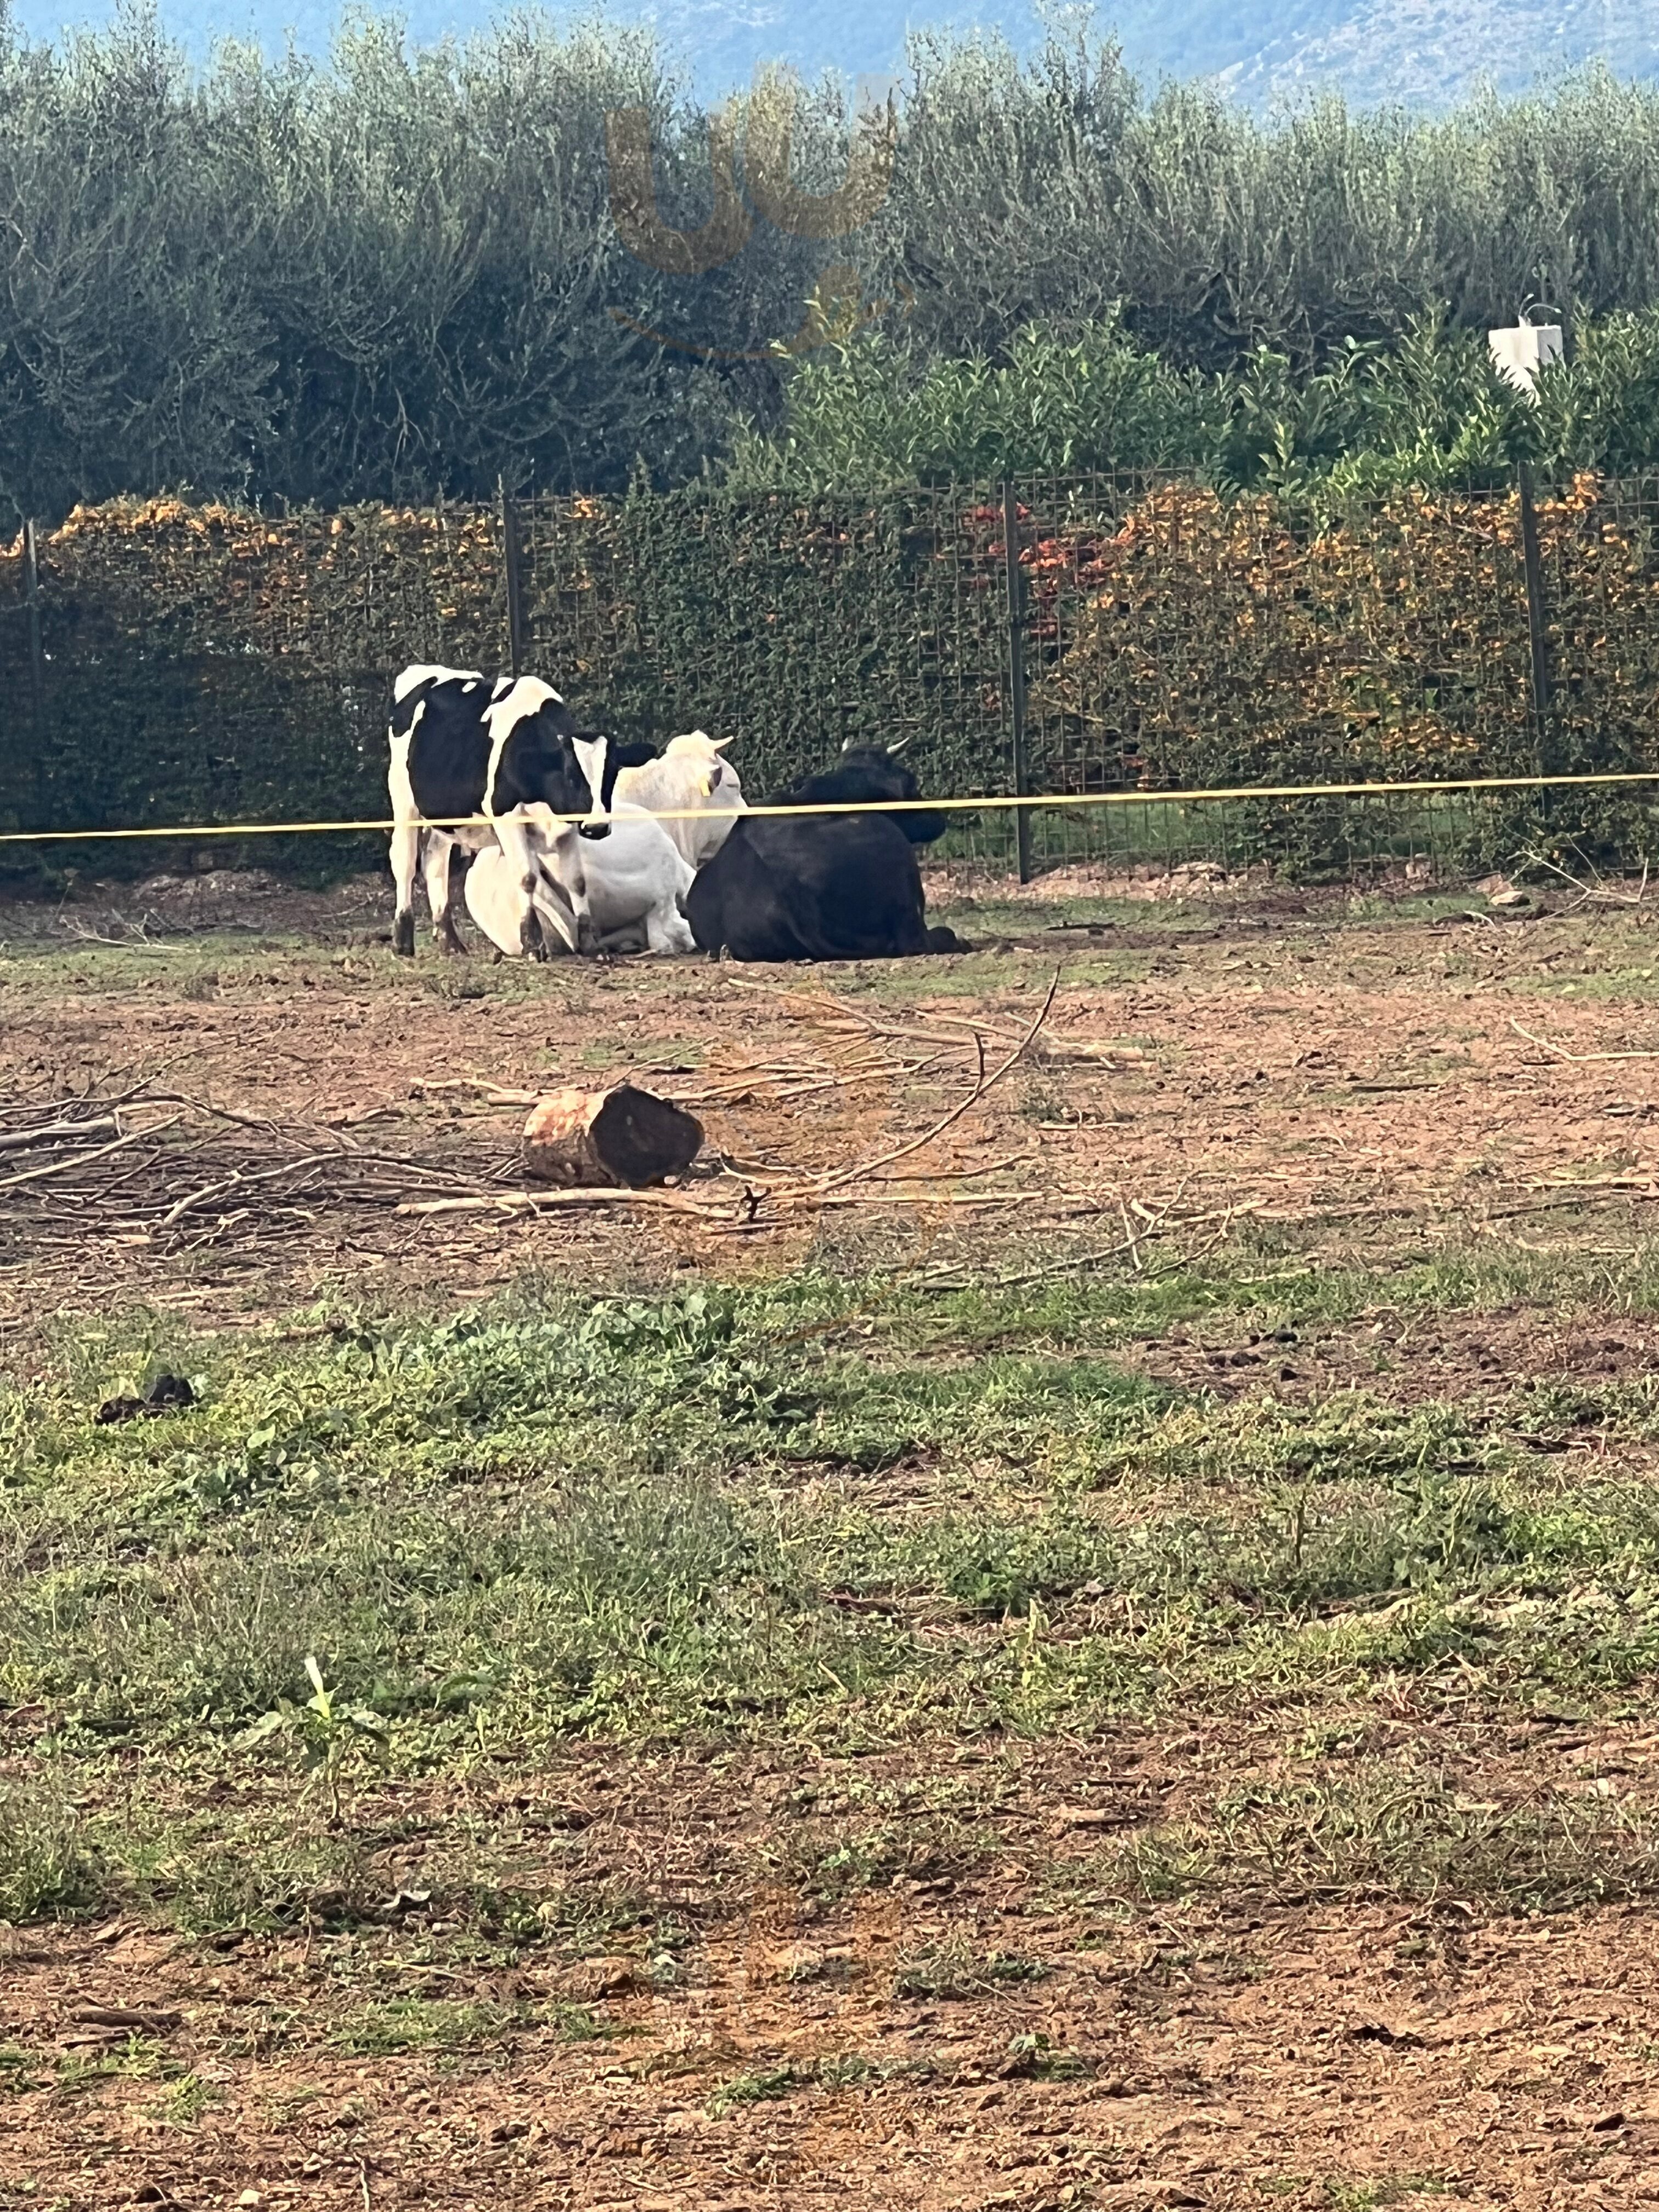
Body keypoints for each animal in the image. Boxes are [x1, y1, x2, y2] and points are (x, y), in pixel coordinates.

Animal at [389, 663, 624, 960]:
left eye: (612, 774)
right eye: (571, 776)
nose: (597, 827)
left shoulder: (567, 826)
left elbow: (577, 881)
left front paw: (591, 945)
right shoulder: (507, 817)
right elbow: (527, 877)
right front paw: (533, 944)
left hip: (446, 815)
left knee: (435, 861)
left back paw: (450, 941)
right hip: (403, 800)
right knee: (405, 863)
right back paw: (402, 941)